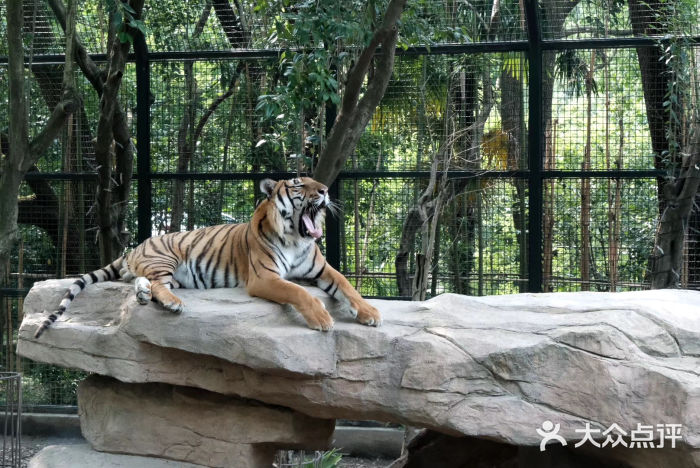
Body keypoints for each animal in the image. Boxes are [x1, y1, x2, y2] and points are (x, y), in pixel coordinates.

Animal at [32, 177, 382, 338]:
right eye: (299, 185)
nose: (324, 190)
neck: (296, 238)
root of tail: (136, 246)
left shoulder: (322, 269)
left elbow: (347, 285)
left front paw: (370, 313)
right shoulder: (264, 278)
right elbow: (297, 291)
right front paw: (322, 319)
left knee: (141, 283)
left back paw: (144, 295)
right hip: (165, 259)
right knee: (159, 285)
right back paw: (172, 302)